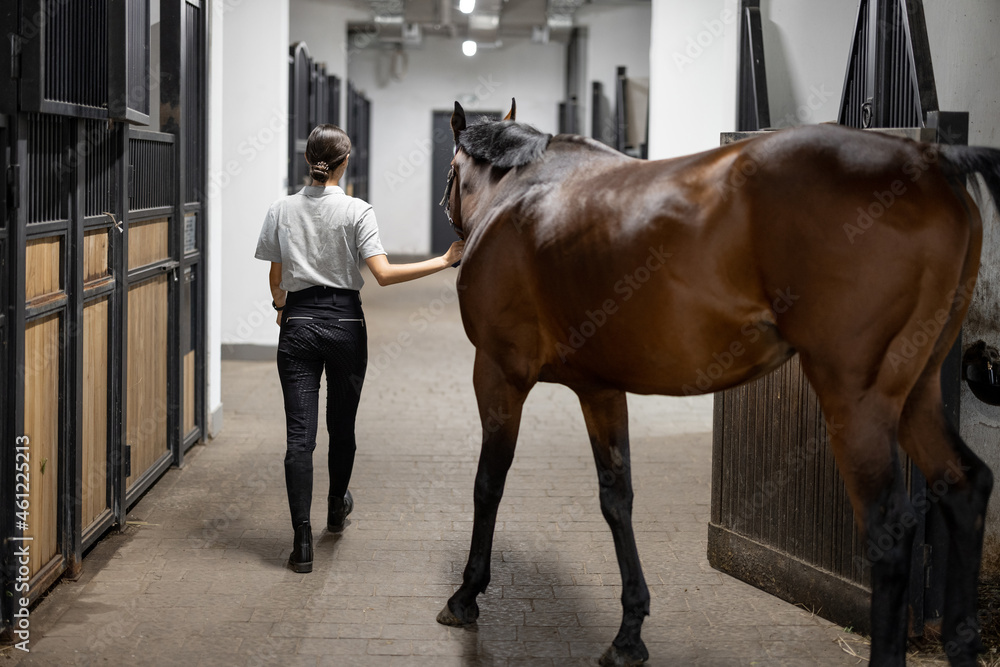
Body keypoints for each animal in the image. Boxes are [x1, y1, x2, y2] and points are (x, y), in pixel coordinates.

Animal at [434, 99, 996, 667]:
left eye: (452, 170)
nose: (448, 222)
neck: (522, 192)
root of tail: (930, 162)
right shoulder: (599, 389)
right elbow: (617, 498)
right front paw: (629, 633)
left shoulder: (499, 373)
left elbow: (489, 482)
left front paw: (466, 595)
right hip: (916, 394)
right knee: (965, 486)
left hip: (857, 402)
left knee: (888, 530)